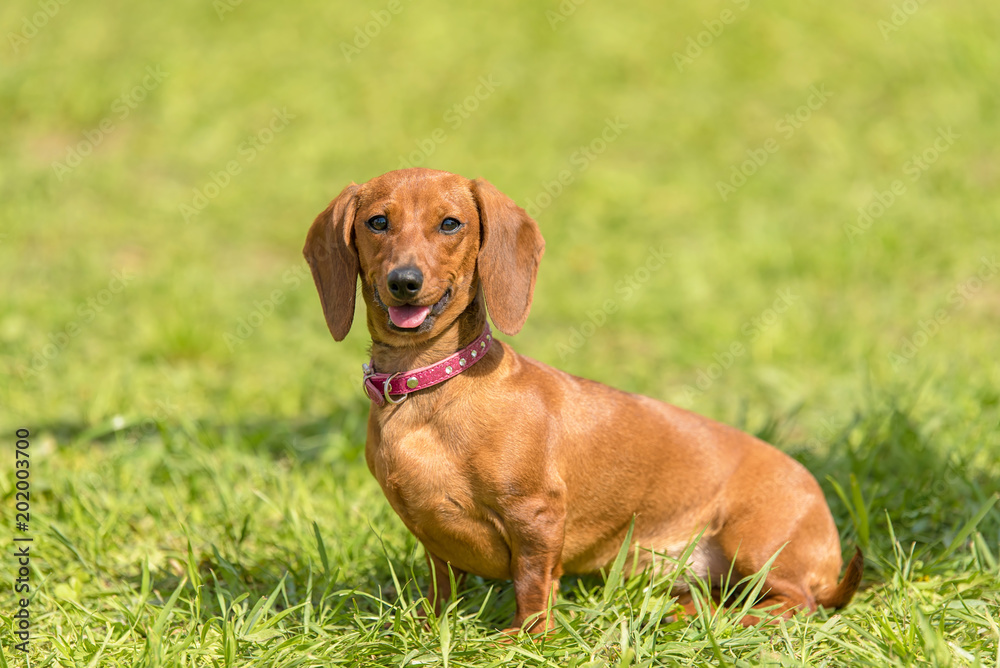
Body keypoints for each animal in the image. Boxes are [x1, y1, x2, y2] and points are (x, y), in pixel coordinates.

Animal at [302, 167, 860, 632]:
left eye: (450, 224)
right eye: (377, 222)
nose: (405, 281)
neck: (427, 387)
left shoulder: (537, 517)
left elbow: (532, 583)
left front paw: (523, 638)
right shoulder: (431, 535)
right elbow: (442, 586)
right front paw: (424, 627)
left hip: (755, 541)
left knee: (796, 601)